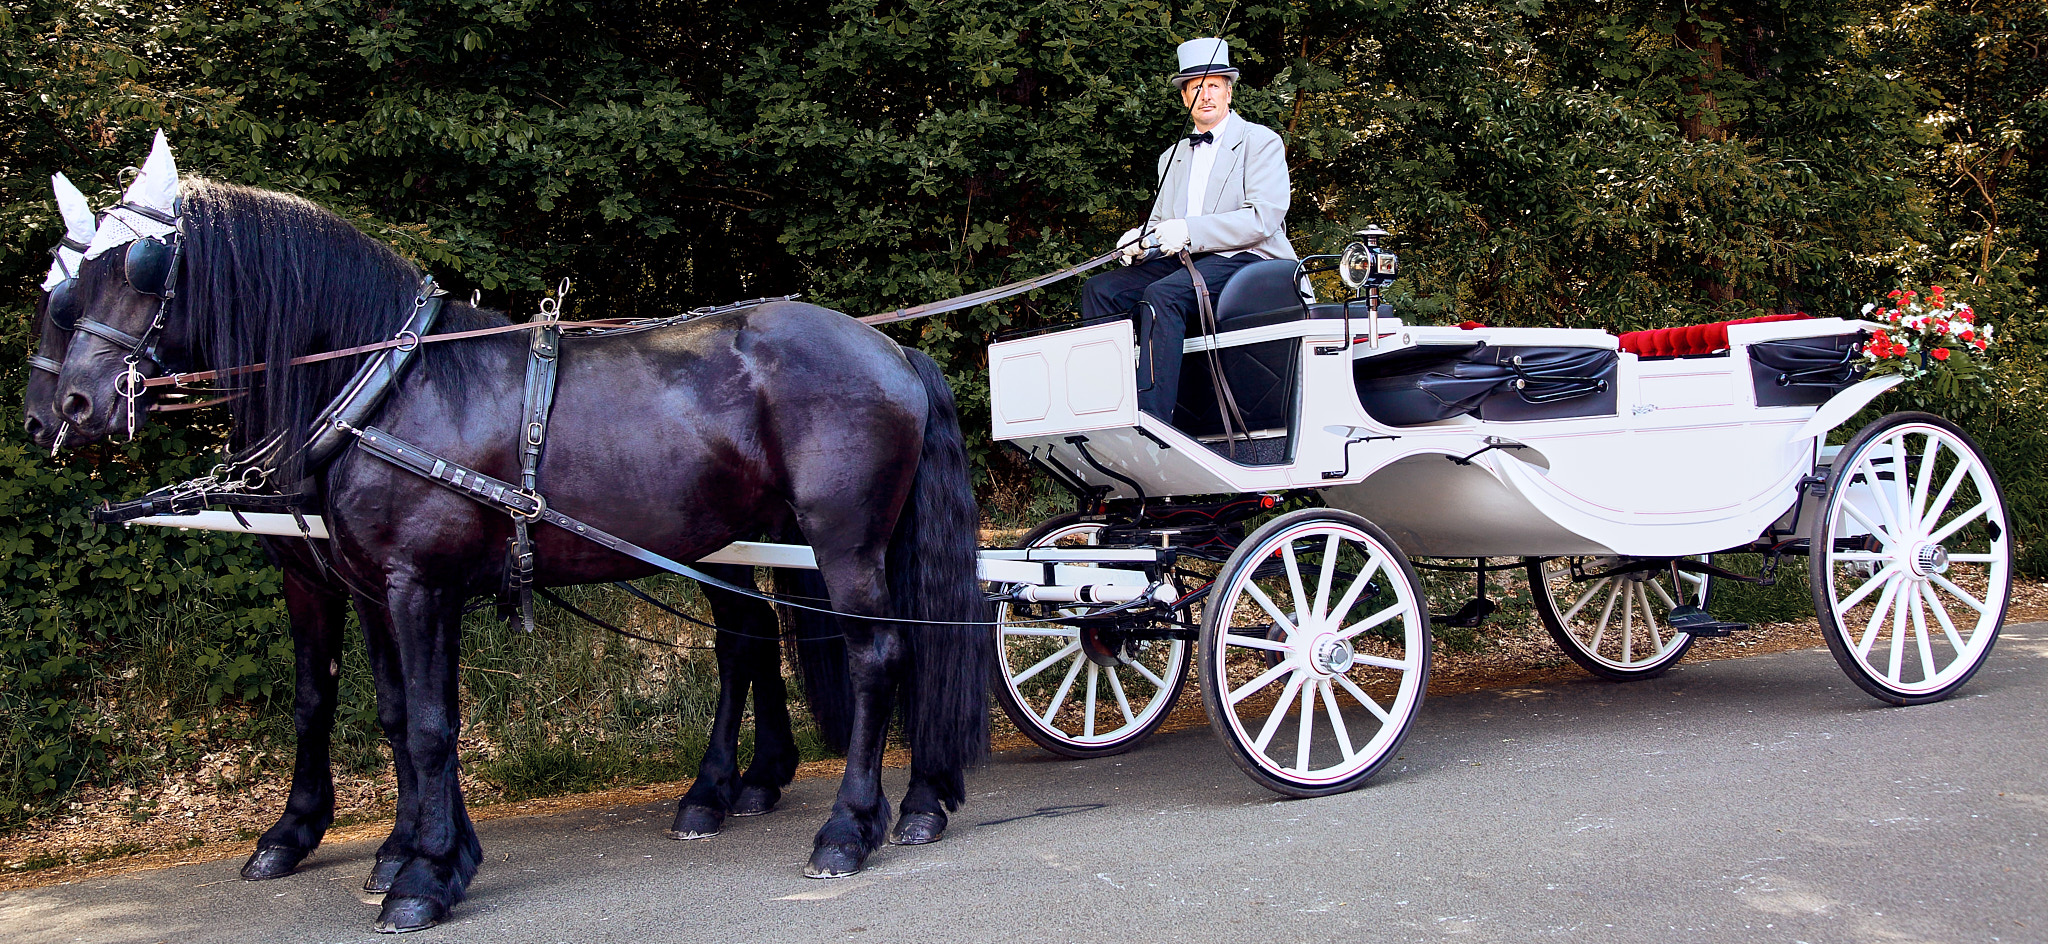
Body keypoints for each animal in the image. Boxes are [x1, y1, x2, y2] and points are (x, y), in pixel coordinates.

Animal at [32, 180, 991, 929]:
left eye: (138, 267)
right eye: (67, 283)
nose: (65, 408)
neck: (386, 385)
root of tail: (889, 345)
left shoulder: (414, 583)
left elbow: (425, 725)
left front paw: (419, 875)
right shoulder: (370, 583)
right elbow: (397, 717)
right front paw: (420, 852)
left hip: (845, 538)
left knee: (876, 656)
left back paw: (847, 826)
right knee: (779, 643)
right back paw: (857, 799)